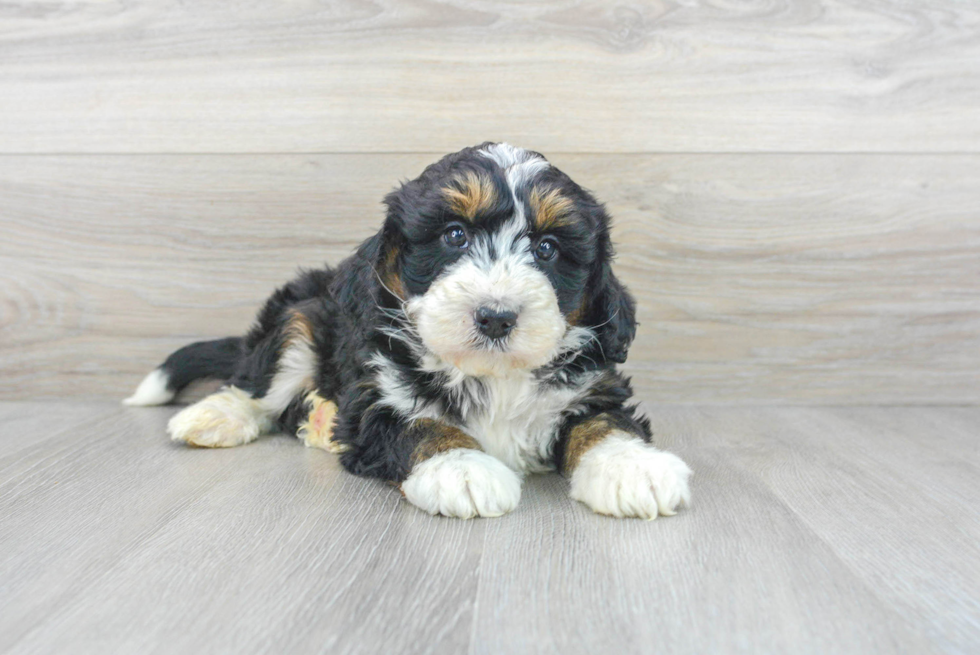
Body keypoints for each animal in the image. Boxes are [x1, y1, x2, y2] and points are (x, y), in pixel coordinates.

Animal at [126, 145, 692, 524]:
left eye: (548, 248)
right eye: (454, 235)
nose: (496, 316)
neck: (491, 375)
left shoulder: (593, 386)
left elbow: (603, 422)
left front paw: (632, 467)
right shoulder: (374, 400)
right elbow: (420, 425)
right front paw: (462, 469)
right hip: (300, 315)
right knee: (261, 383)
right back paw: (216, 416)